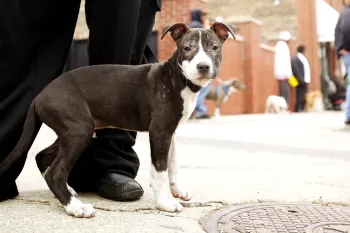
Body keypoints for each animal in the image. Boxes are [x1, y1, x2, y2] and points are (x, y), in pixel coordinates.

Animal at [0, 22, 237, 218]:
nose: (203, 66)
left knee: (42, 156)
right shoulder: (159, 132)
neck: (177, 78)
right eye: (187, 48)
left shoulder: (171, 132)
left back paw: (68, 193)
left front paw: (177, 191)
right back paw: (75, 207)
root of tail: (39, 96)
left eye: (214, 48)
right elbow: (159, 171)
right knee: (55, 173)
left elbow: (173, 164)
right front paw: (165, 203)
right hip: (79, 130)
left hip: (73, 130)